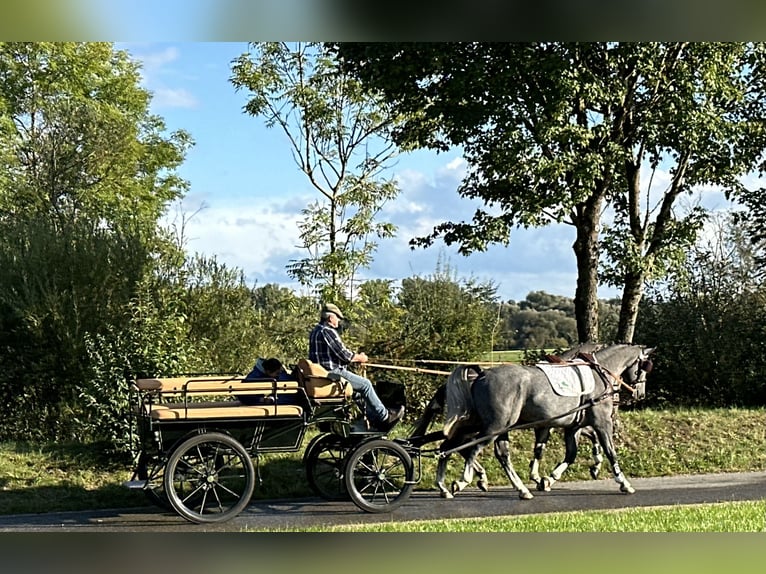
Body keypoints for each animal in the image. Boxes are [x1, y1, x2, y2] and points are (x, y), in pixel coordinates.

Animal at [444, 344, 656, 502]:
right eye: (644, 368)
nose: (640, 394)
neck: (598, 374)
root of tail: (482, 374)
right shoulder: (602, 423)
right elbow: (610, 452)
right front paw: (623, 482)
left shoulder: (572, 427)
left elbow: (570, 454)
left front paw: (548, 479)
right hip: (495, 426)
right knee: (473, 448)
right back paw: (463, 480)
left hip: (496, 426)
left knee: (494, 453)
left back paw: (520, 489)